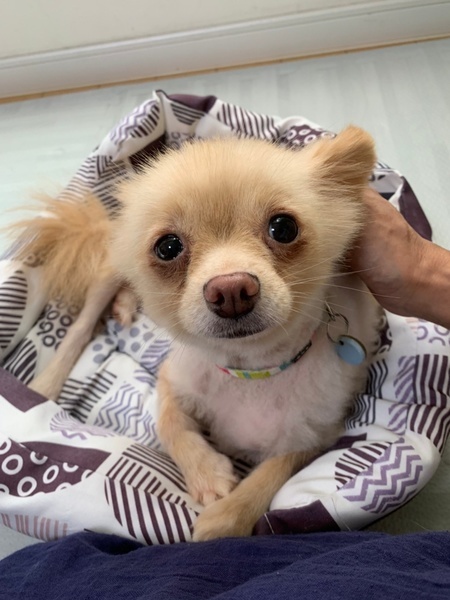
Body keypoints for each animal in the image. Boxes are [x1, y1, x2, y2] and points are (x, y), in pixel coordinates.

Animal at [14, 126, 380, 541]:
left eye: (283, 227)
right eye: (168, 247)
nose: (231, 290)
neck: (251, 370)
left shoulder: (316, 435)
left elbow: (271, 473)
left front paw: (226, 517)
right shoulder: (172, 379)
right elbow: (170, 425)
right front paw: (207, 474)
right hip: (108, 270)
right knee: (81, 326)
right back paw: (46, 383)